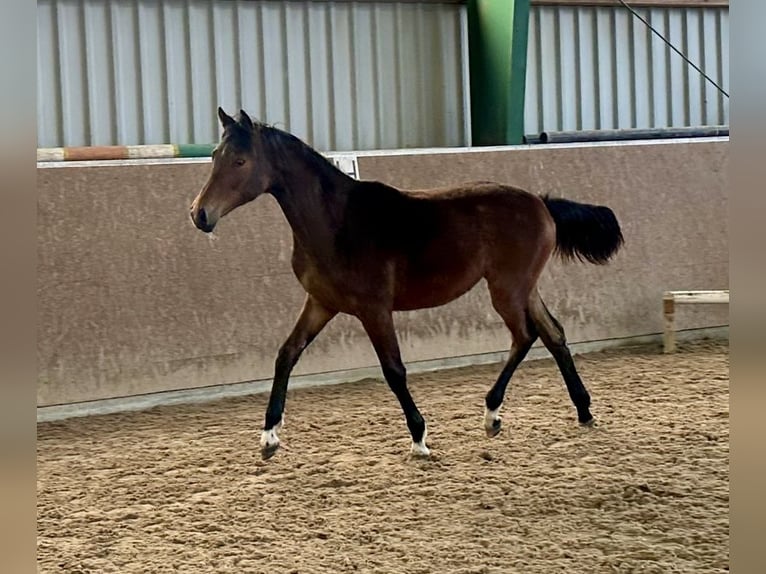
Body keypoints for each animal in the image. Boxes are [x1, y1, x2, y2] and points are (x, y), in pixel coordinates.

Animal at [190, 107, 624, 460]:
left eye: (241, 160)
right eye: (214, 156)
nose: (200, 214)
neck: (335, 222)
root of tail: (541, 202)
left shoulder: (374, 309)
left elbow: (393, 370)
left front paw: (419, 438)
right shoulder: (320, 303)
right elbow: (286, 355)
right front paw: (269, 437)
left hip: (506, 289)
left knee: (526, 335)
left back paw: (492, 414)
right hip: (523, 288)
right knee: (553, 333)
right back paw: (582, 410)